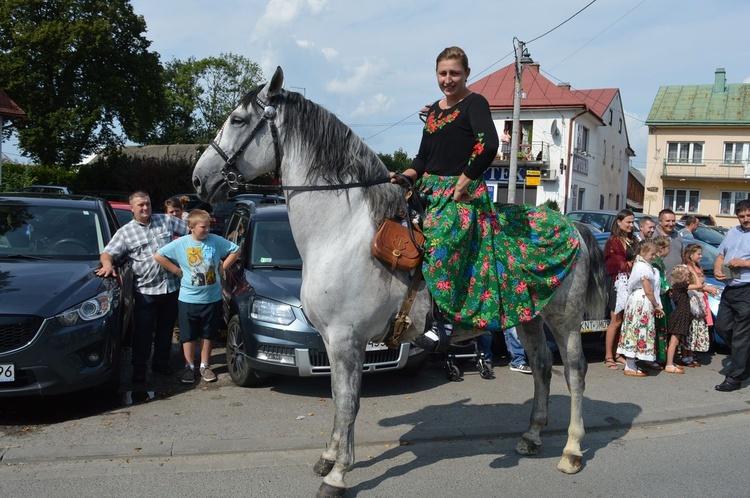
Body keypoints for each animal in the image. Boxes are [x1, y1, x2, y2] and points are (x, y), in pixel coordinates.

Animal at [192, 67, 604, 498]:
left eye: (238, 120)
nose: (199, 180)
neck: (340, 232)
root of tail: (574, 226)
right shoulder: (332, 340)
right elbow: (338, 397)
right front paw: (328, 457)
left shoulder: (346, 338)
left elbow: (349, 402)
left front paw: (338, 474)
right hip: (529, 318)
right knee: (541, 368)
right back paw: (533, 436)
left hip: (564, 321)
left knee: (574, 373)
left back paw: (572, 451)